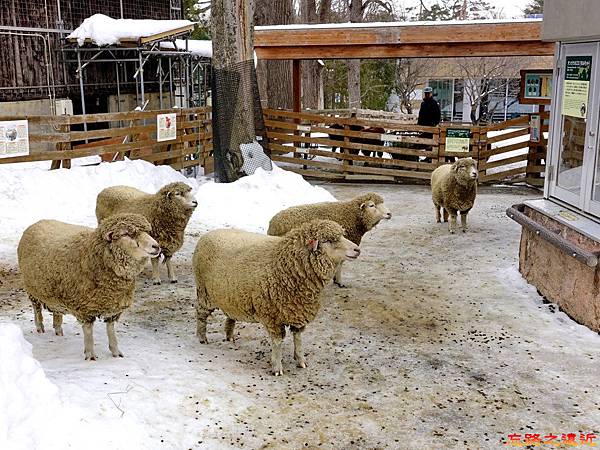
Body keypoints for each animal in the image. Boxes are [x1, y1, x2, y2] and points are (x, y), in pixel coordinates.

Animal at [17, 213, 159, 360]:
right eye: (126, 234)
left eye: (147, 232)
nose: (156, 246)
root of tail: (38, 222)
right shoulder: (84, 307)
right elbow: (88, 331)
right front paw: (90, 355)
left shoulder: (113, 306)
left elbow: (111, 330)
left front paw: (115, 352)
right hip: (32, 289)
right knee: (37, 309)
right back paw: (40, 327)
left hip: (55, 291)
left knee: (56, 311)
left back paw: (58, 329)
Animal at [192, 220, 360, 374]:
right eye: (329, 241)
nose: (357, 249)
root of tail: (206, 235)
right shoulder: (272, 315)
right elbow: (278, 342)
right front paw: (277, 367)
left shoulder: (297, 311)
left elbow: (298, 338)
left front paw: (301, 360)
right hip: (204, 292)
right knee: (200, 314)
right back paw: (202, 338)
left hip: (232, 296)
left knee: (230, 315)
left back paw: (229, 336)